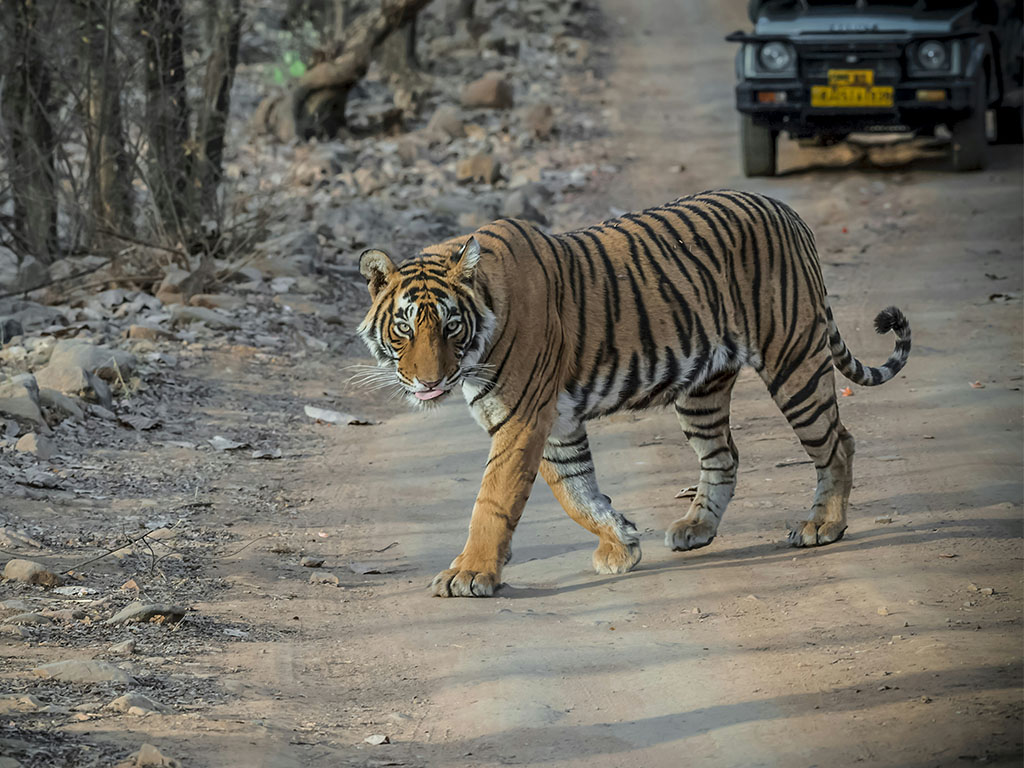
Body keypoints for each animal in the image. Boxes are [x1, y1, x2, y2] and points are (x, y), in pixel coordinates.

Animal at [356, 189, 911, 598]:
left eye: (450, 326)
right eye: (405, 327)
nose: (429, 382)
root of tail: (787, 210)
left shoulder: (522, 419)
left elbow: (494, 499)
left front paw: (470, 574)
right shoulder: (554, 423)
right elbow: (575, 492)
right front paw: (621, 543)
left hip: (794, 361)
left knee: (838, 443)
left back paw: (823, 526)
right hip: (702, 391)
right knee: (724, 456)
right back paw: (696, 528)